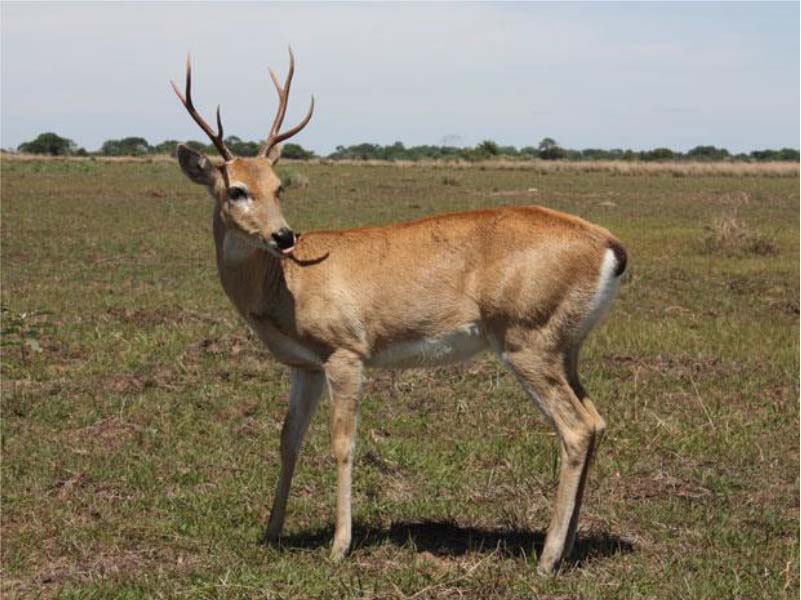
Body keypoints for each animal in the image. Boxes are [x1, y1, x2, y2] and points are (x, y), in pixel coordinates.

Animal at [172, 49, 628, 576]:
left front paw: (339, 545)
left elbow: (342, 443)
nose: (283, 236)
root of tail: (609, 245)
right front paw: (271, 532)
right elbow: (288, 440)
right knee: (596, 421)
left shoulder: (346, 355)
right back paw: (568, 547)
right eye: (237, 189)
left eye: (279, 186)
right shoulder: (304, 366)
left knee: (575, 428)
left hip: (527, 344)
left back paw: (546, 560)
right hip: (566, 350)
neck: (285, 284)